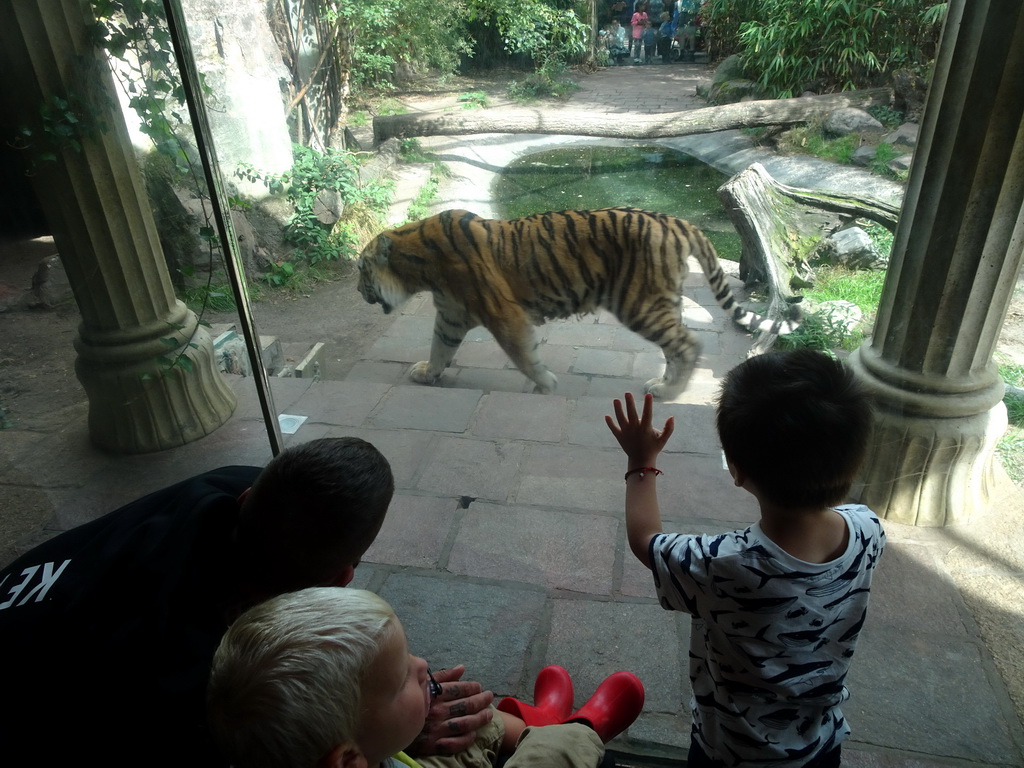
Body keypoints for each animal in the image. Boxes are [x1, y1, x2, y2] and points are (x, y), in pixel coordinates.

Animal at [358, 207, 798, 399]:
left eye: (362, 270)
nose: (359, 293)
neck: (418, 264)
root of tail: (676, 220)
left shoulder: (504, 315)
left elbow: (523, 355)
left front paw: (546, 385)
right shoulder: (450, 315)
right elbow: (440, 348)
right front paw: (427, 374)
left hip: (638, 304)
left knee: (689, 344)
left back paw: (671, 393)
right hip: (661, 302)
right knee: (676, 347)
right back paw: (662, 384)